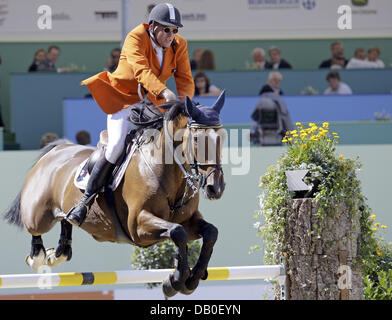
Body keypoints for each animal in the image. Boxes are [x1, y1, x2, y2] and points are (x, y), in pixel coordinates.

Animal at [2, 92, 227, 298]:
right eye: (196, 139)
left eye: (223, 138)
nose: (215, 188)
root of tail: (55, 150)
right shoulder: (138, 226)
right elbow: (177, 233)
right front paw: (175, 281)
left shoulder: (189, 220)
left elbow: (211, 233)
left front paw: (192, 277)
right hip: (39, 215)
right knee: (35, 230)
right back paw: (39, 256)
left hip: (63, 210)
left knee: (66, 222)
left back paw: (57, 252)